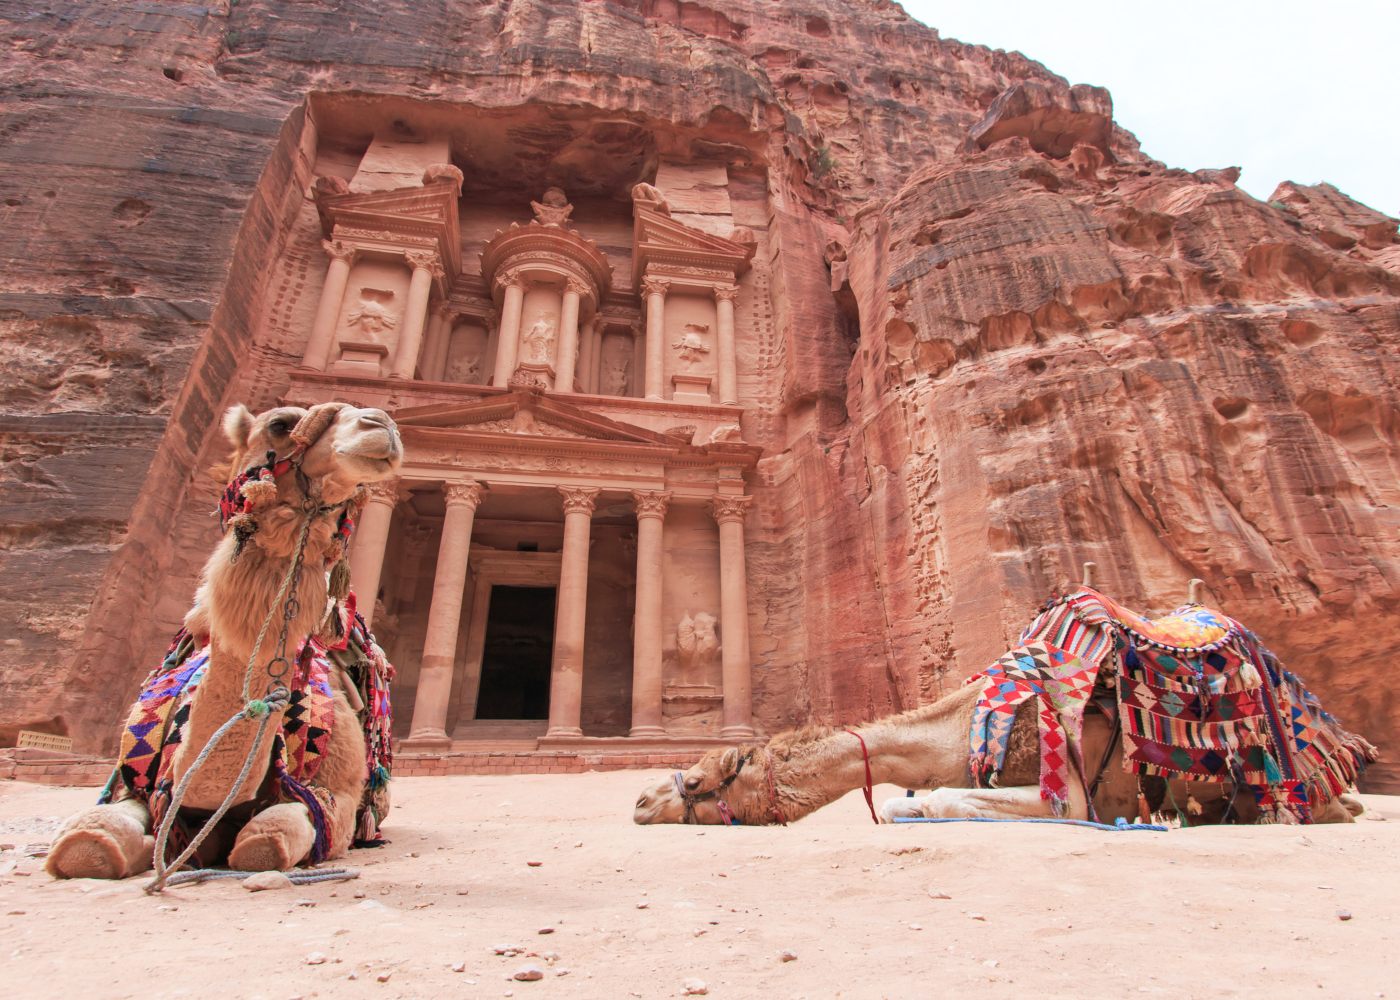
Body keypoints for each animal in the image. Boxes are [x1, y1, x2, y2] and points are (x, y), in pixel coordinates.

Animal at [46, 400, 403, 873]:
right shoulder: (137, 788)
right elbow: (87, 841)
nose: (381, 424)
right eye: (279, 424)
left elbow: (266, 844)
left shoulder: (336, 796)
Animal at [638, 585, 1377, 823]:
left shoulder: (1070, 795)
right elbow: (914, 801)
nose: (642, 801)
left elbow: (942, 800)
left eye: (697, 781)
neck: (966, 722)